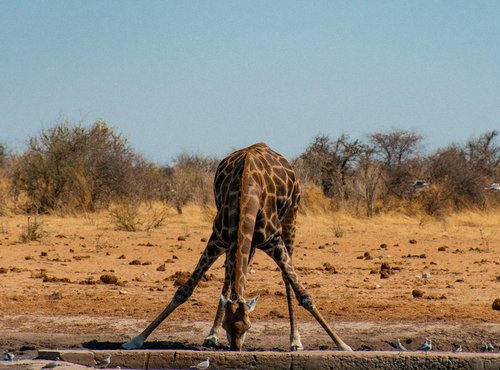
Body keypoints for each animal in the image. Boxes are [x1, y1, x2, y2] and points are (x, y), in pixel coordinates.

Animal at [122, 143, 352, 352]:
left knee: (285, 278)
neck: (247, 194)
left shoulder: (274, 241)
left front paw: (342, 344)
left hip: (291, 219)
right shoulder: (218, 239)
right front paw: (136, 339)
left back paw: (295, 340)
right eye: (227, 325)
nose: (235, 348)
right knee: (230, 275)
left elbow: (305, 296)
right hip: (239, 244)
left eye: (249, 327)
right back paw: (211, 335)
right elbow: (184, 290)